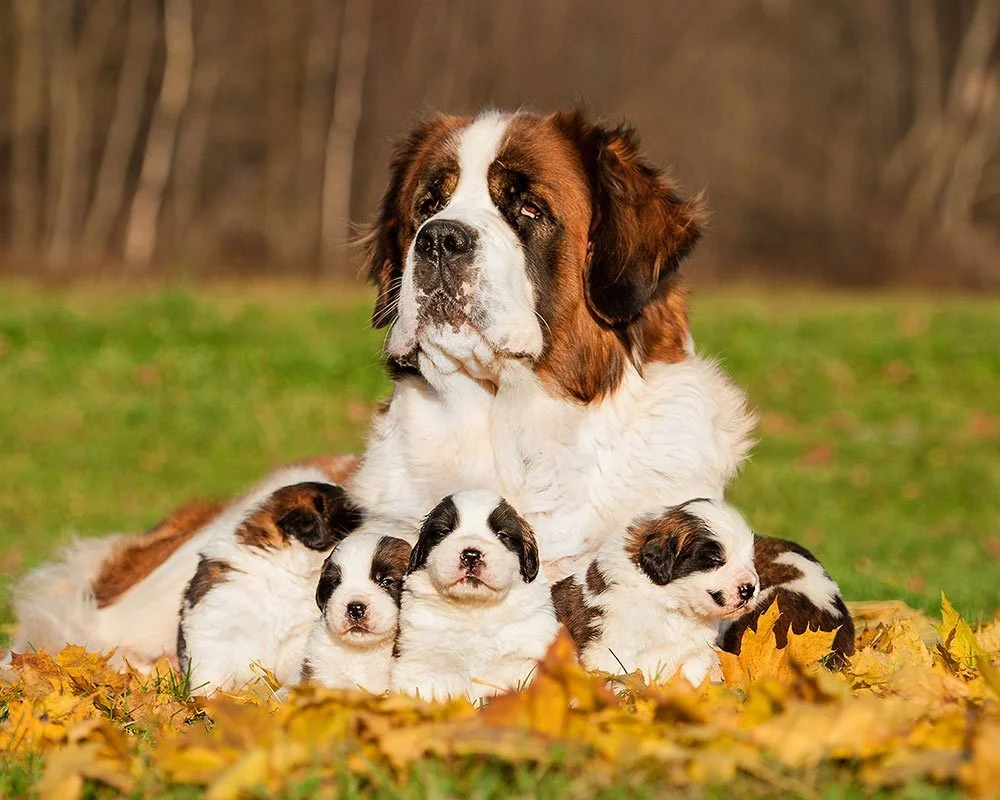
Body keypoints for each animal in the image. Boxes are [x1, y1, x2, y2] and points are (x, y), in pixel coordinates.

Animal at [179, 482, 364, 692]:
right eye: (349, 509)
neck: (280, 569)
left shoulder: (297, 632)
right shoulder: (216, 627)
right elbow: (212, 672)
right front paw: (210, 698)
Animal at [390, 490, 564, 704]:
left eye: (502, 535)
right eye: (444, 532)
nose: (471, 555)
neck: (474, 608)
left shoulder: (524, 654)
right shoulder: (422, 656)